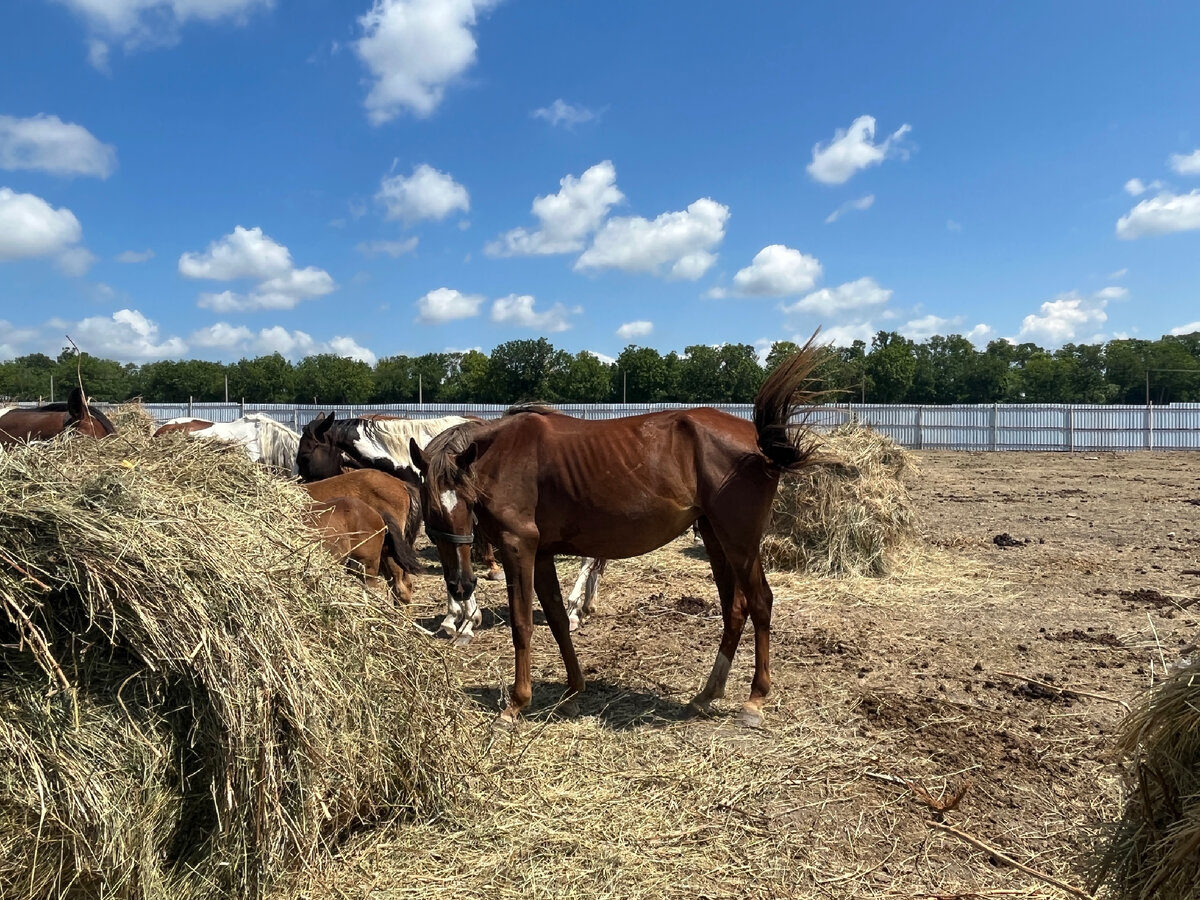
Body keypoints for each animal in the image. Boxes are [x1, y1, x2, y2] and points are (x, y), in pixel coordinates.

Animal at [412, 340, 825, 729]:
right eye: (432, 512)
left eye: (465, 502)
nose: (462, 585)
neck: (505, 455)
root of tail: (760, 441)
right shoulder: (541, 553)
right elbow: (558, 620)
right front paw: (573, 691)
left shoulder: (519, 549)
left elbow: (522, 624)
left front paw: (515, 704)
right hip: (715, 536)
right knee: (734, 608)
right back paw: (705, 695)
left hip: (739, 540)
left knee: (760, 602)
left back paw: (754, 700)